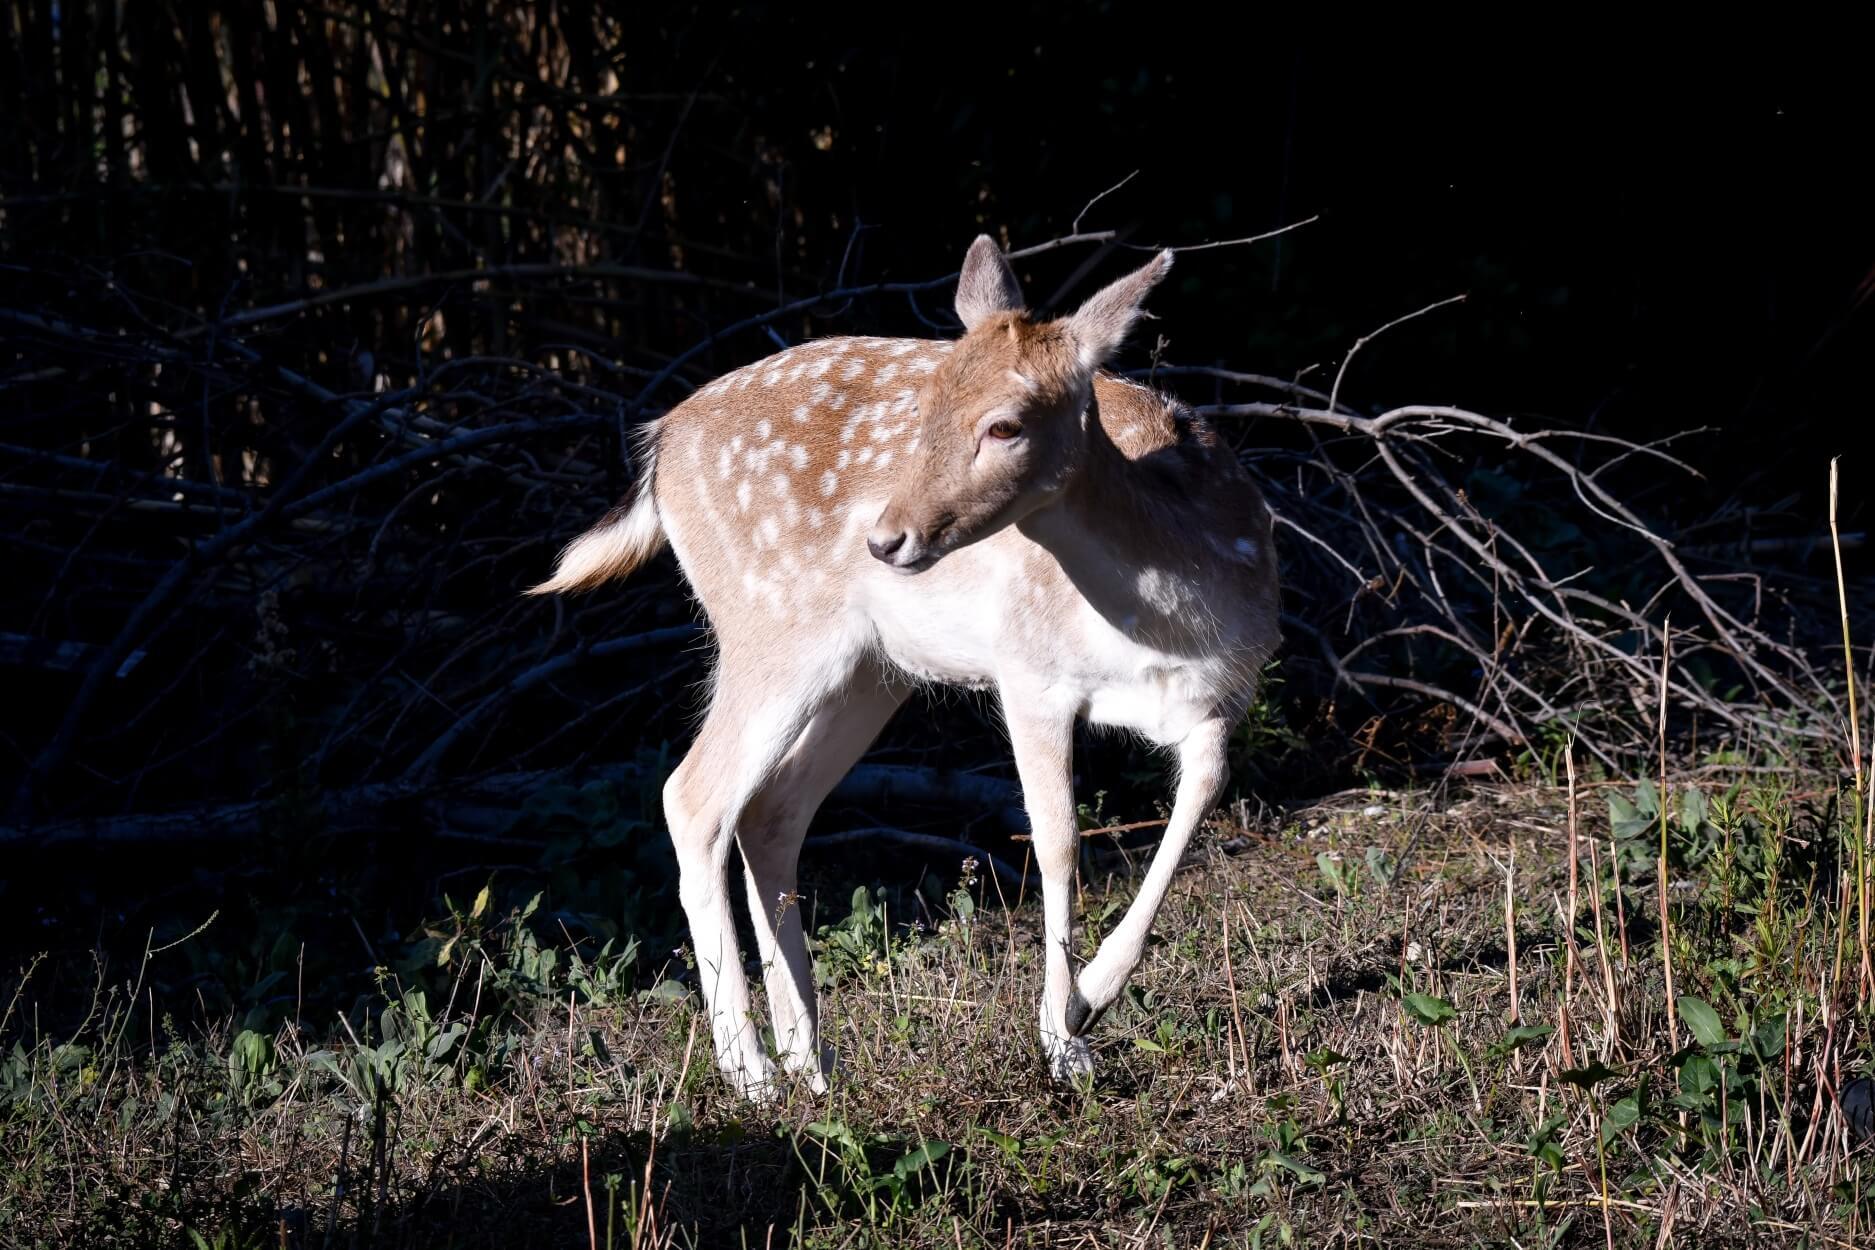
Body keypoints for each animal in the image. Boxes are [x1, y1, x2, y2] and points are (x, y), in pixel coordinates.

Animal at [536, 239, 1282, 1101]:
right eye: (924, 408)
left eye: (1004, 424)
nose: (887, 537)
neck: (1167, 621)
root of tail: (658, 446)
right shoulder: (1028, 673)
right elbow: (1059, 840)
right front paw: (1065, 1039)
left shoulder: (1223, 697)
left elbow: (1198, 804)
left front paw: (1090, 998)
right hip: (771, 630)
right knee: (692, 797)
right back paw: (751, 1072)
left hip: (867, 672)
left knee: (770, 810)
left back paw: (810, 1060)